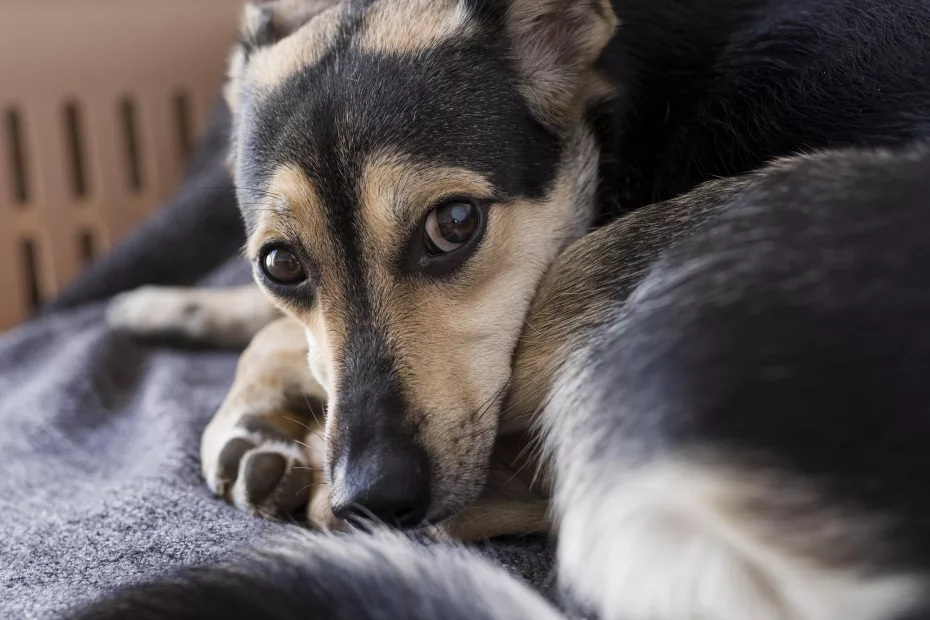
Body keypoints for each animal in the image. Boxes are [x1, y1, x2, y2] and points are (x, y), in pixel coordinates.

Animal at [96, 0, 930, 616]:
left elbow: (274, 337)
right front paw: (166, 307)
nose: (373, 497)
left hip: (639, 255)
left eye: (455, 223)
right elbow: (275, 324)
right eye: (281, 263)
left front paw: (248, 410)